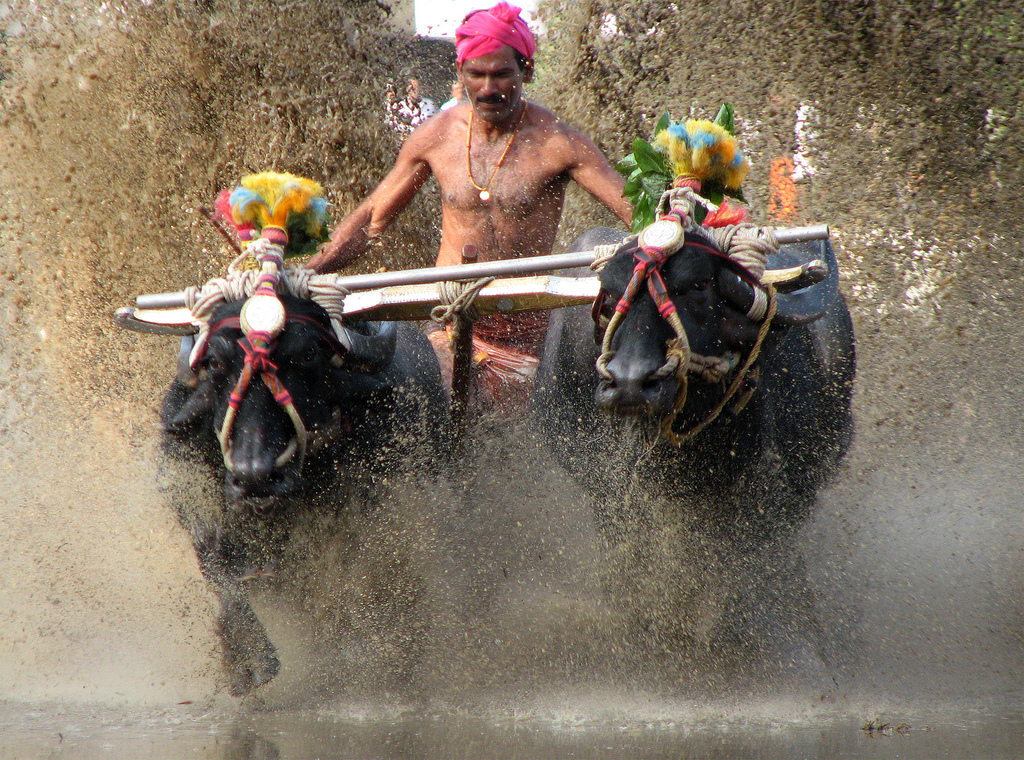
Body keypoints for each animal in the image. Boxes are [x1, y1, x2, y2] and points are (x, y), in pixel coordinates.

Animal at [160, 297, 448, 696]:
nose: (255, 477)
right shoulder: (196, 511)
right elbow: (225, 581)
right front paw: (247, 663)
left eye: (308, 354)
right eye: (215, 362)